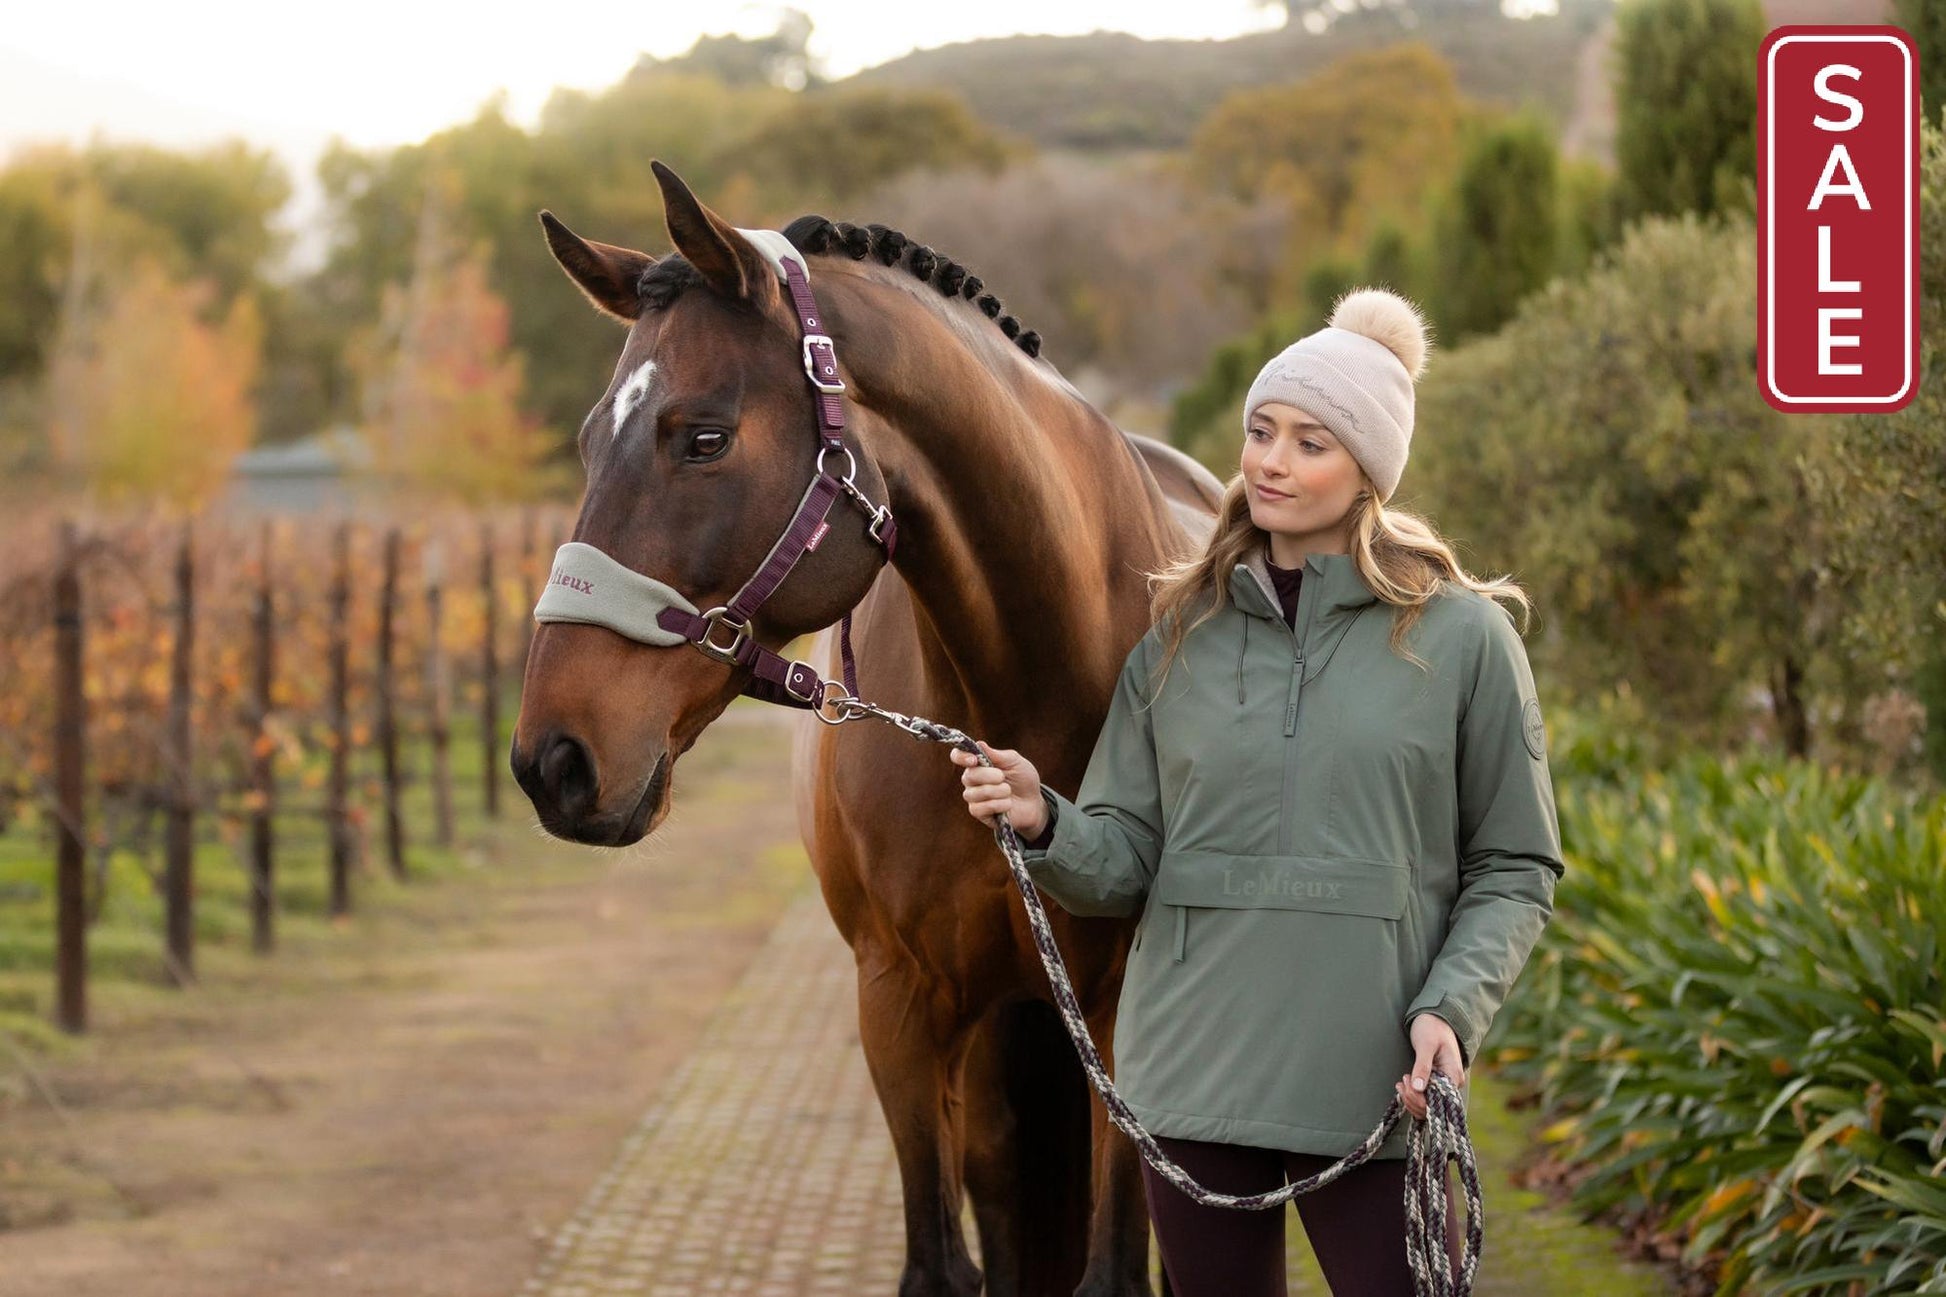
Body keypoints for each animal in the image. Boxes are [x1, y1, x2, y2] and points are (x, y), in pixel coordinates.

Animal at [511, 160, 1222, 1296]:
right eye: (585, 444)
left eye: (702, 437)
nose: (553, 760)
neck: (1024, 694)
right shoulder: (897, 1004)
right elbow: (939, 1263)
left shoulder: (1123, 1017)